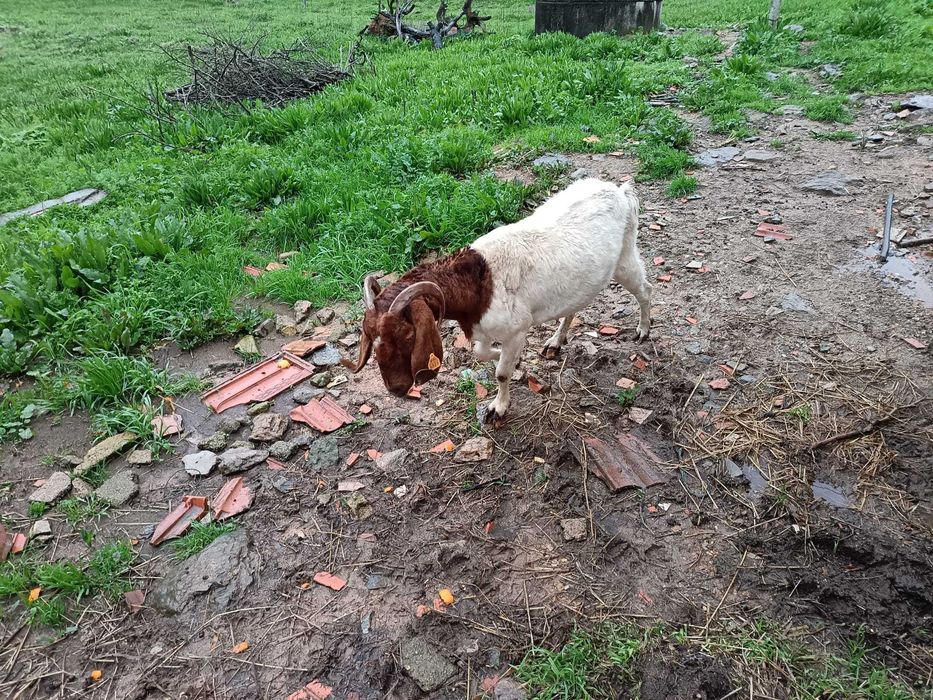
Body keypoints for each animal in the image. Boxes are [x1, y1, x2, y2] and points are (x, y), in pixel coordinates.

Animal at [341, 177, 652, 420]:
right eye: (370, 336)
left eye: (408, 335)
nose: (395, 389)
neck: (480, 282)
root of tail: (620, 191)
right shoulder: (483, 327)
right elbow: (481, 353)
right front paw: (513, 361)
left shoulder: (517, 329)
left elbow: (501, 373)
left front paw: (498, 406)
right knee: (574, 306)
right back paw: (555, 341)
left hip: (625, 257)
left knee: (645, 289)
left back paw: (643, 331)